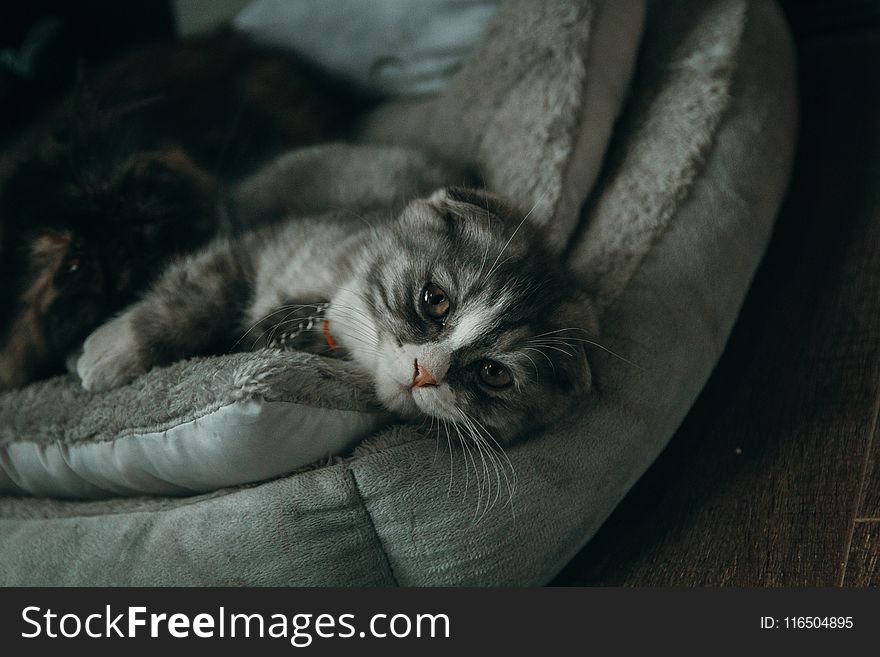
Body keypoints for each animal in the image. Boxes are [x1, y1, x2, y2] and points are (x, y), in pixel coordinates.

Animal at [75, 147, 600, 444]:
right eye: (436, 300)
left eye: (493, 374)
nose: (424, 372)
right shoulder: (259, 249)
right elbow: (190, 298)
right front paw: (111, 354)